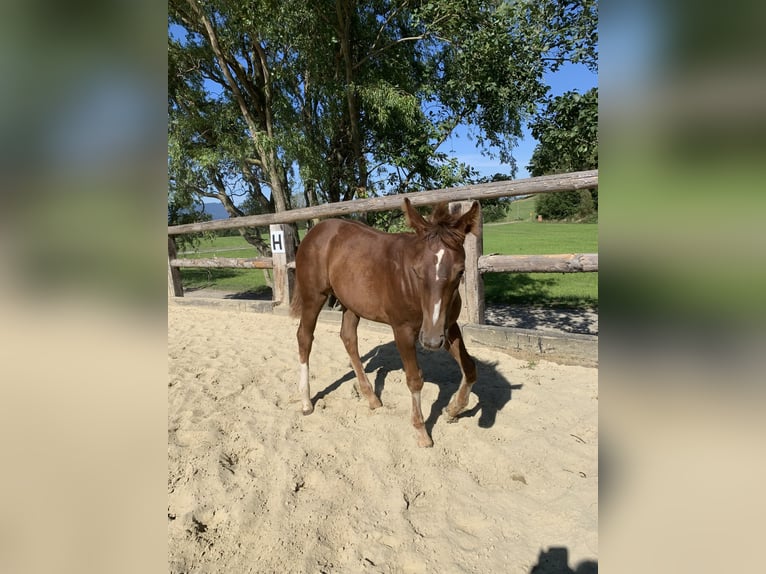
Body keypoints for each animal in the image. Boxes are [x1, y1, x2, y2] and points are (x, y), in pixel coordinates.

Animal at [292, 199, 480, 450]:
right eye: (417, 270)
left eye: (460, 271)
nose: (431, 342)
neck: (412, 288)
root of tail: (314, 231)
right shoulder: (403, 330)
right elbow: (414, 379)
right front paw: (421, 431)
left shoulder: (447, 327)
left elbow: (469, 367)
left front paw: (453, 409)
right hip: (314, 296)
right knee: (305, 337)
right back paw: (306, 401)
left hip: (351, 303)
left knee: (348, 337)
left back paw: (371, 397)